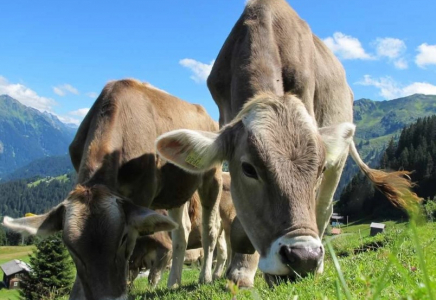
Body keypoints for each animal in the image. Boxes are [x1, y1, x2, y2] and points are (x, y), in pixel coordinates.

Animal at [0, 78, 221, 298]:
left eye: (123, 238)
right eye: (70, 248)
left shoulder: (142, 195)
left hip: (212, 175)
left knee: (210, 229)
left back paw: (206, 277)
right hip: (176, 190)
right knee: (181, 231)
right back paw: (173, 282)